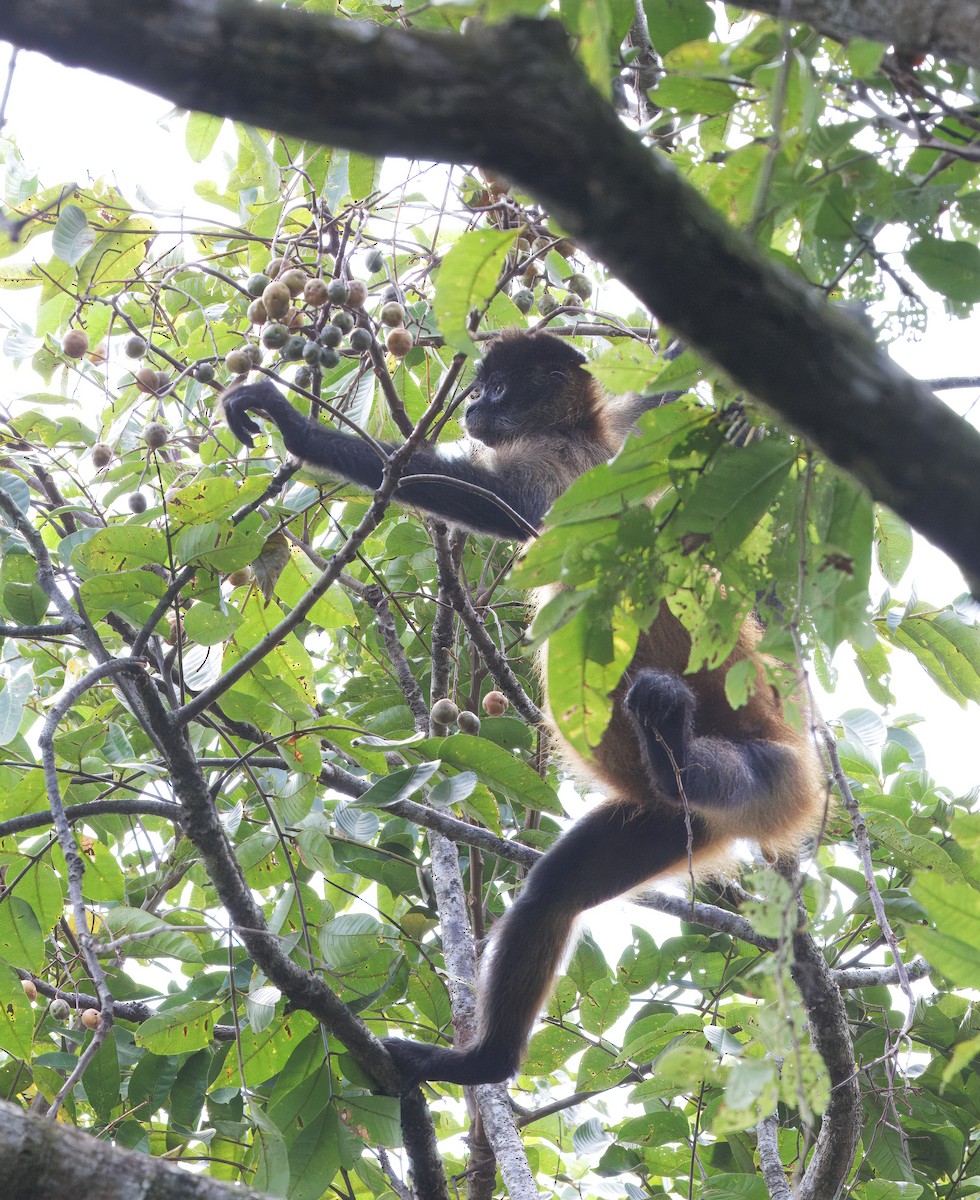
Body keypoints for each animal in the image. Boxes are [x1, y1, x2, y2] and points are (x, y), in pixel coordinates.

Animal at [222, 329, 825, 1090]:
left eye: (499, 386)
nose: (474, 402)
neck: (586, 432)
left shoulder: (559, 463)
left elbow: (494, 498)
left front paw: (293, 427)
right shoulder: (624, 428)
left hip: (769, 777)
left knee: (725, 767)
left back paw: (675, 745)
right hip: (670, 823)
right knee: (552, 894)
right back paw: (486, 1061)